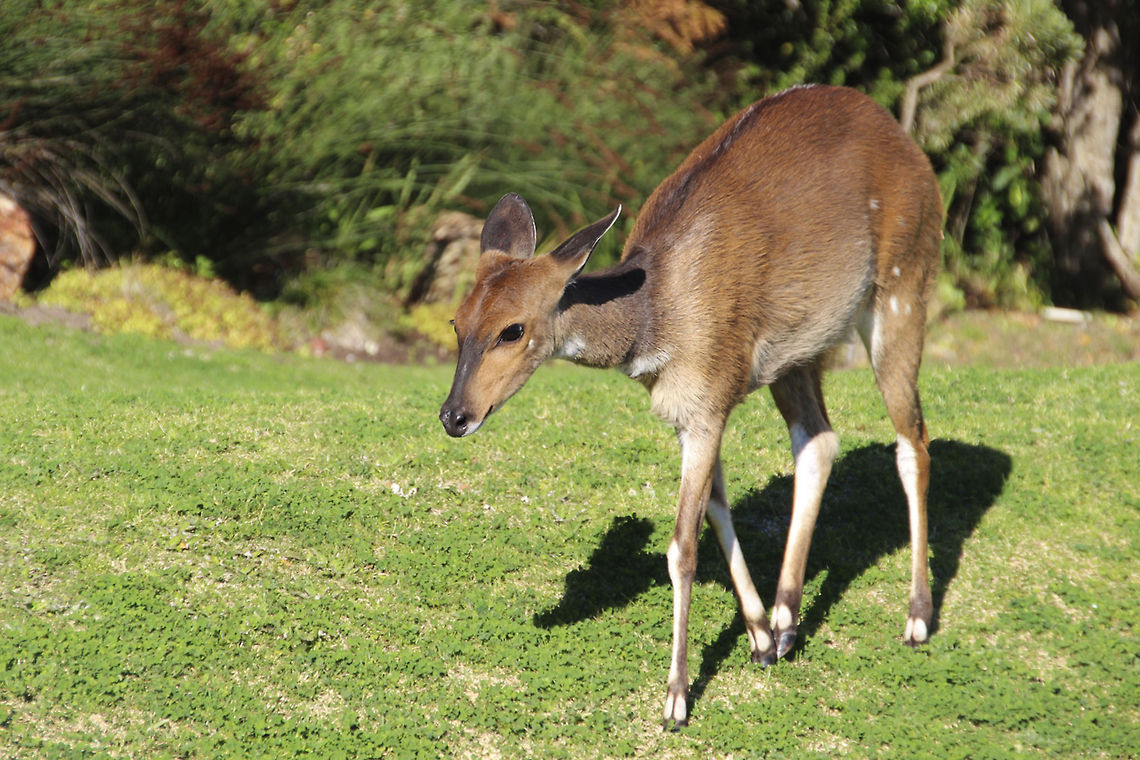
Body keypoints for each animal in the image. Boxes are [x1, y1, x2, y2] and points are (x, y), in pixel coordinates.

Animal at [439, 84, 943, 729]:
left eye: (513, 329)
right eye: (457, 322)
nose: (454, 416)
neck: (655, 322)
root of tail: (914, 152)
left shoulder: (706, 404)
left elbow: (681, 545)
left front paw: (676, 698)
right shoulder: (696, 409)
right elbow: (718, 508)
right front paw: (759, 635)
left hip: (903, 289)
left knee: (913, 441)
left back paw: (917, 618)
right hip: (800, 351)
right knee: (820, 439)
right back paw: (787, 621)